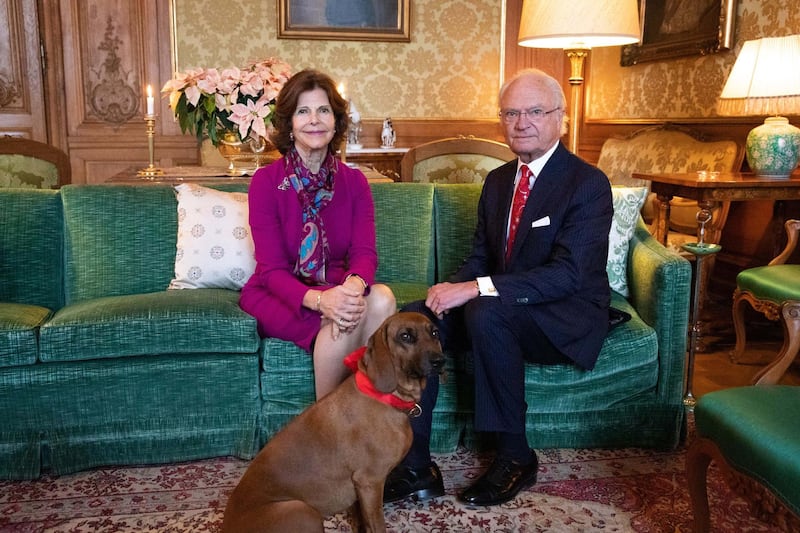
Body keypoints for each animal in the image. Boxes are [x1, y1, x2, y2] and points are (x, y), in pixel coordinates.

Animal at [223, 310, 444, 528]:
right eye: (405, 336)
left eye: (434, 333)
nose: (440, 361)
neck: (387, 397)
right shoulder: (370, 483)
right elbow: (377, 525)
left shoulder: (360, 492)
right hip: (302, 510)